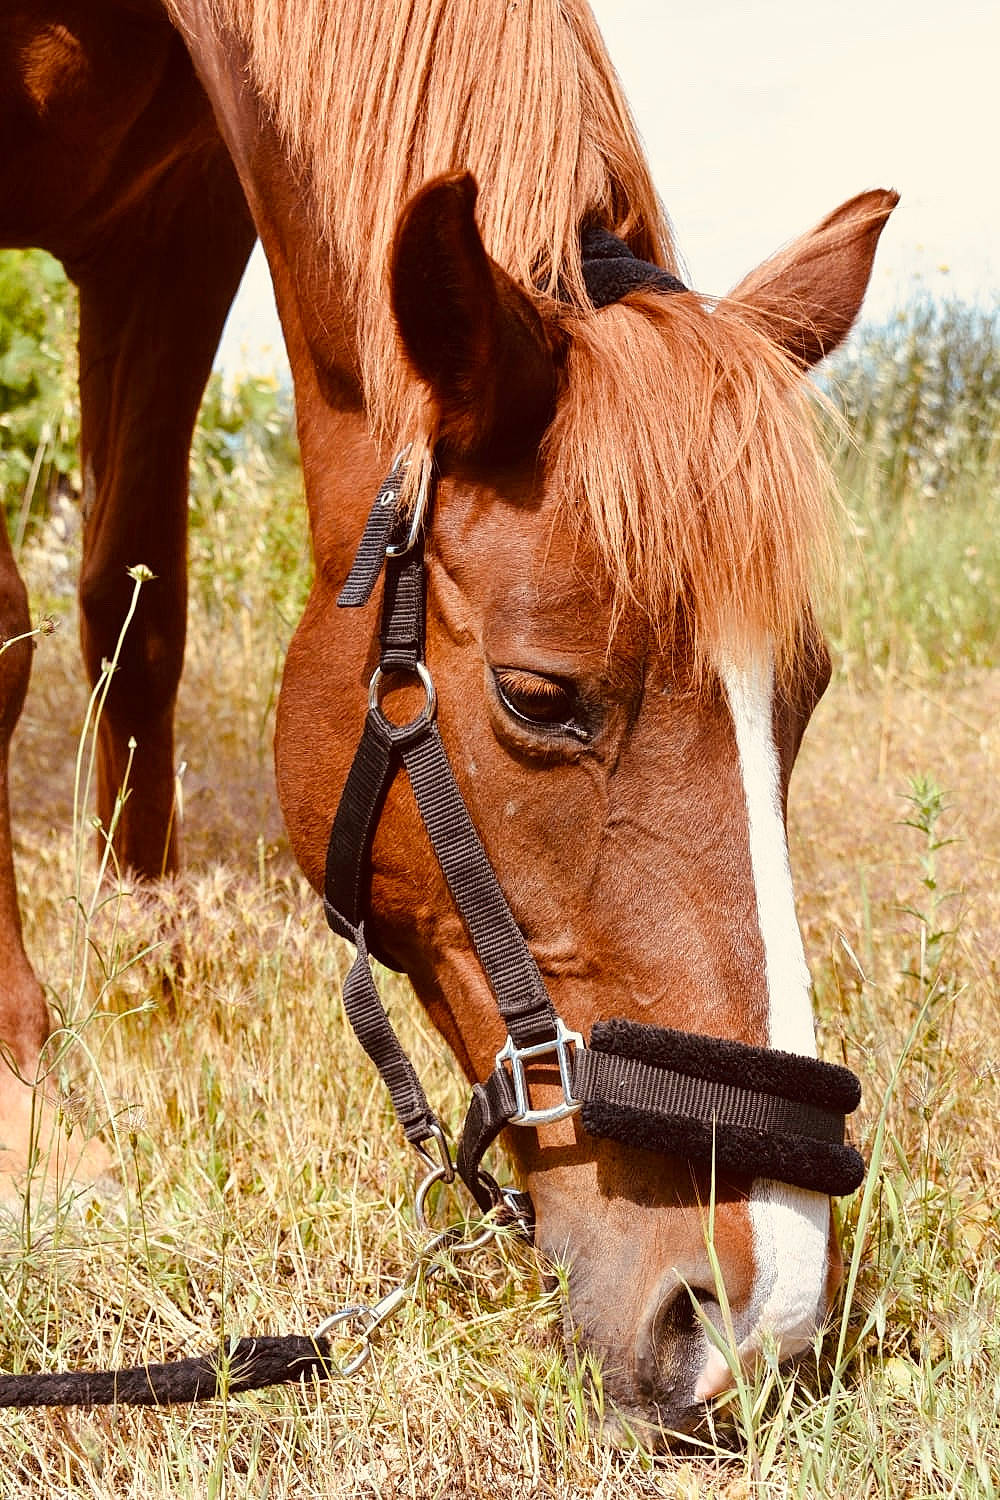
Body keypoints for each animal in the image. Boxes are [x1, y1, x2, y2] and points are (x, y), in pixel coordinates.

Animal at [0, 0, 895, 1438]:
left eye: (804, 696)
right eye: (539, 696)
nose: (755, 1316)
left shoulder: (172, 233)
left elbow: (135, 603)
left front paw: (151, 983)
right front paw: (30, 1105)